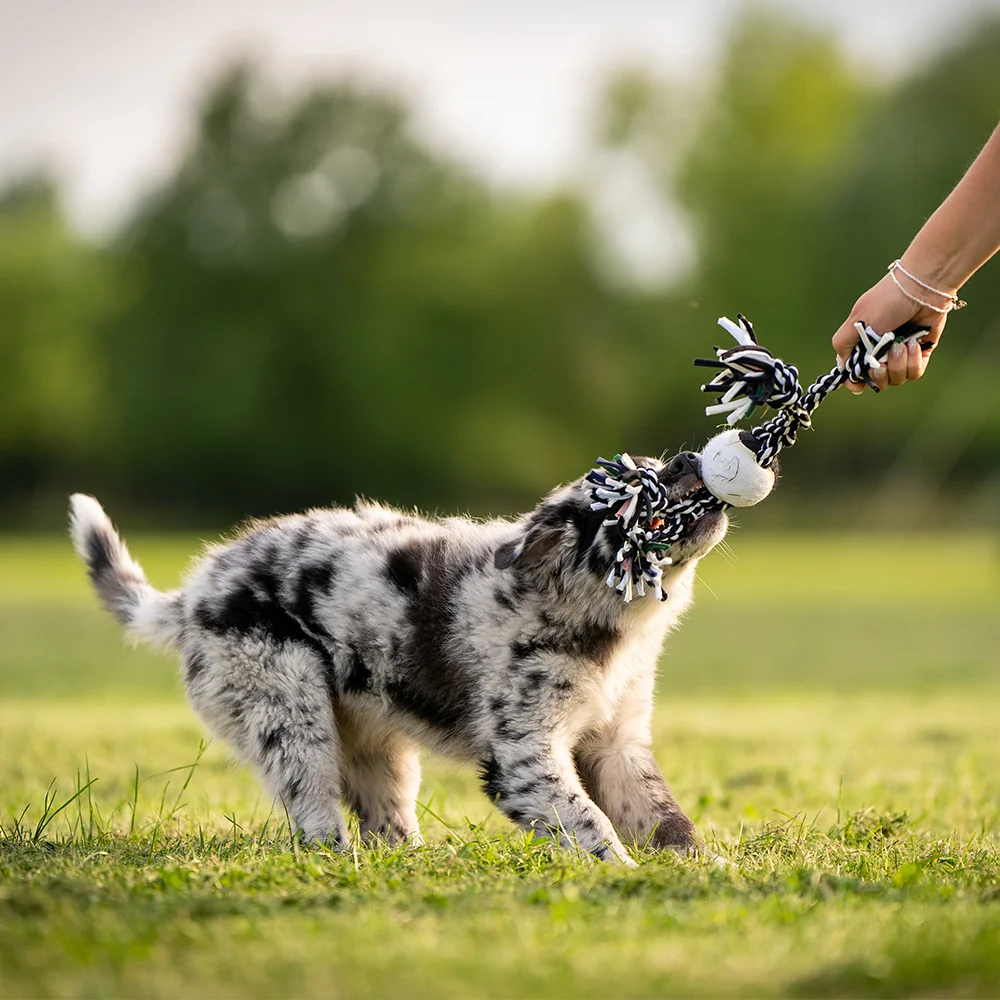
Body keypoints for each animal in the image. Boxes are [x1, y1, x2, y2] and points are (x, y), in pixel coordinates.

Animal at [72, 454, 728, 868]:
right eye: (634, 494)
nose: (689, 456)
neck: (603, 627)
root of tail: (190, 599)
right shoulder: (522, 754)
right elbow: (587, 821)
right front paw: (623, 871)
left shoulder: (617, 742)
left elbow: (662, 816)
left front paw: (703, 869)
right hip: (288, 711)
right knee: (314, 810)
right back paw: (341, 863)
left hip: (375, 742)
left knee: (385, 820)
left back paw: (411, 863)